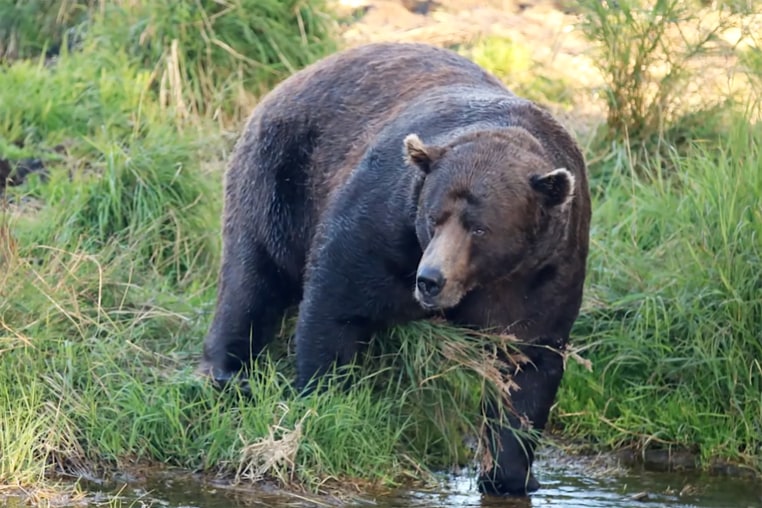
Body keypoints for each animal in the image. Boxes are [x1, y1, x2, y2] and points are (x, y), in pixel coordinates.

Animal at [200, 42, 591, 497]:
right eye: (433, 217)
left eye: (480, 227)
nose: (430, 280)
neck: (485, 282)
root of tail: (295, 75)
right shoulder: (383, 227)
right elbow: (336, 306)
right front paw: (326, 402)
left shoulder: (546, 272)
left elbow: (527, 365)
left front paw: (510, 475)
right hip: (281, 176)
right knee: (252, 274)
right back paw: (229, 371)